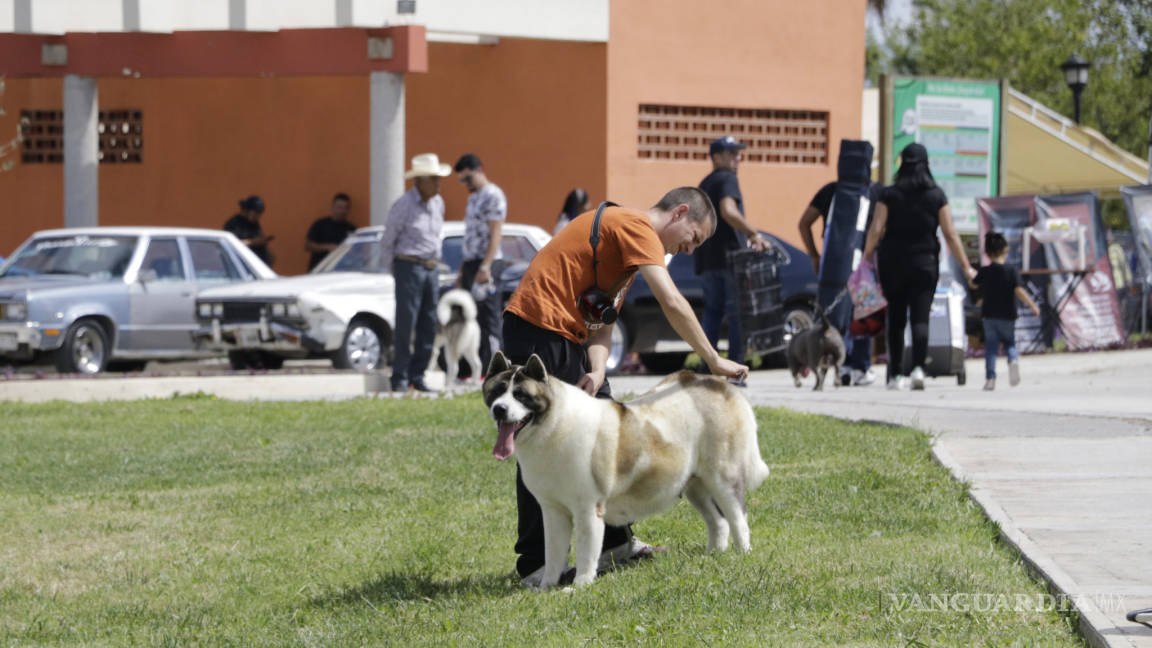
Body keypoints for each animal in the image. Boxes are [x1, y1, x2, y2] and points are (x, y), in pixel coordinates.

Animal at [481, 350, 769, 588]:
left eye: (521, 396)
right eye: (497, 392)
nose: (500, 409)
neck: (551, 425)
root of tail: (721, 385)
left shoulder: (587, 510)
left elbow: (586, 551)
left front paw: (579, 586)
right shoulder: (553, 511)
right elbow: (552, 553)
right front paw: (546, 587)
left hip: (723, 477)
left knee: (737, 517)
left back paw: (742, 554)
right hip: (694, 485)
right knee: (718, 520)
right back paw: (713, 555)